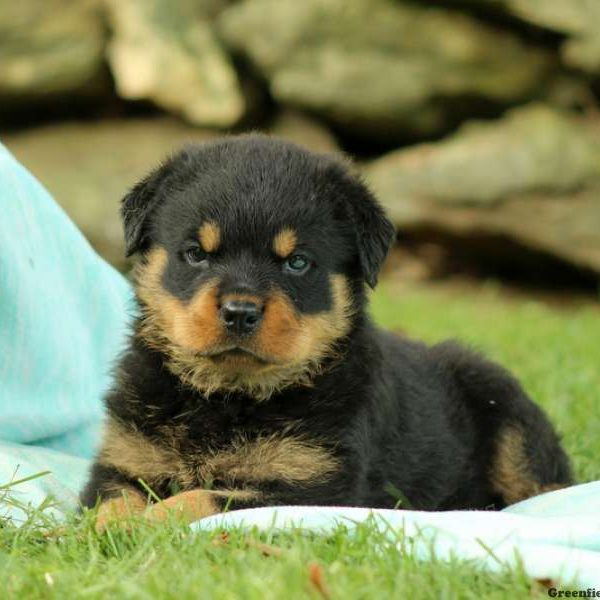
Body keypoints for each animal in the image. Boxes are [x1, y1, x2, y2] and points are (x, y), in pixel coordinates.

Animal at [81, 134, 572, 528]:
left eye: (298, 262)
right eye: (195, 254)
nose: (240, 312)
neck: (227, 396)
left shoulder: (314, 485)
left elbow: (201, 498)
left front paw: (147, 524)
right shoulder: (121, 460)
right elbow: (112, 501)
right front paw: (103, 529)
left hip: (502, 401)